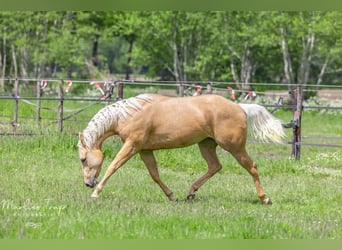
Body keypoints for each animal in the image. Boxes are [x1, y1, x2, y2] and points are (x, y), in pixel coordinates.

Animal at [79, 93, 284, 204]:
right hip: (206, 144)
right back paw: (191, 193)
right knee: (215, 166)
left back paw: (265, 198)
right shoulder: (145, 150)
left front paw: (95, 193)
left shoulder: (132, 145)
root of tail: (239, 107)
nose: (88, 183)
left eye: (83, 159)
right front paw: (172, 197)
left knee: (252, 167)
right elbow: (155, 175)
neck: (130, 114)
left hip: (234, 146)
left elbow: (113, 166)